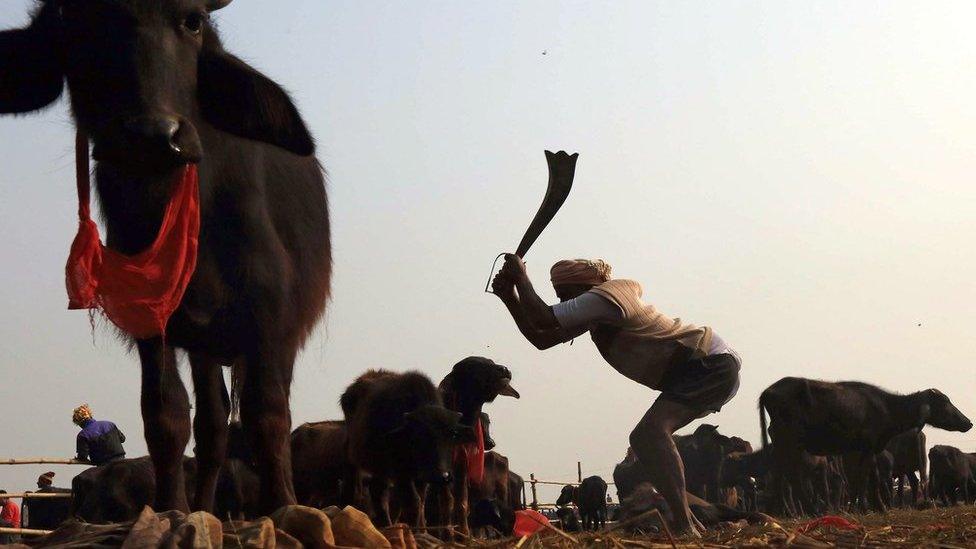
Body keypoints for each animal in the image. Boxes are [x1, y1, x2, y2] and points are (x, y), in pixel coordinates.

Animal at [0, 0, 332, 512]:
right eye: (77, 26)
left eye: (191, 21)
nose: (152, 136)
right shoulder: (150, 319)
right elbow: (165, 415)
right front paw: (174, 508)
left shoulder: (270, 316)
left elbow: (269, 413)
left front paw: (281, 506)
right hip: (203, 346)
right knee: (213, 426)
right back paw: (205, 504)